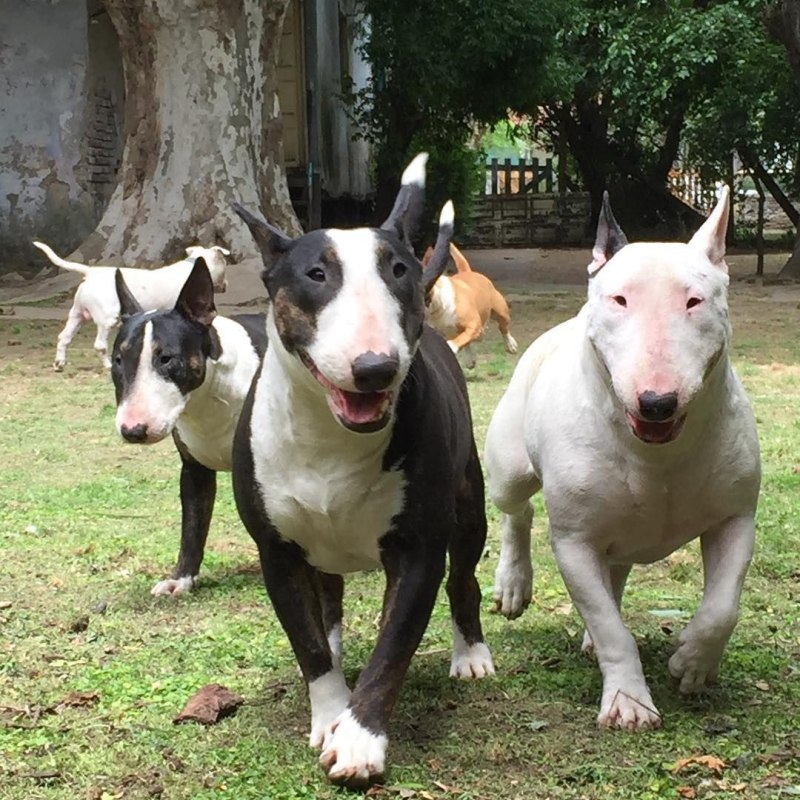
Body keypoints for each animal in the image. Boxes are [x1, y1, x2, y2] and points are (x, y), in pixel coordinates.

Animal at [32, 240, 230, 371]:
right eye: (224, 262)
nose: (226, 285)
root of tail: (90, 273)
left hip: (77, 315)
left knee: (63, 337)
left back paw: (59, 363)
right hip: (107, 319)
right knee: (99, 345)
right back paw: (108, 365)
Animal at [110, 259, 266, 596]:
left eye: (167, 358)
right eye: (117, 360)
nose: (132, 430)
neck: (208, 396)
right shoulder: (194, 471)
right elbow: (192, 526)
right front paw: (180, 579)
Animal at [231, 153, 494, 788]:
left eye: (398, 270)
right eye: (315, 274)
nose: (375, 368)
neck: (332, 437)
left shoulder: (417, 551)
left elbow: (392, 650)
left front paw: (359, 739)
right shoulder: (276, 551)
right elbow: (306, 644)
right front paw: (330, 712)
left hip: (468, 509)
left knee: (465, 579)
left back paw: (471, 654)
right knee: (327, 603)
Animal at [484, 188, 760, 730]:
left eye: (694, 301)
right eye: (620, 300)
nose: (656, 402)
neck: (657, 454)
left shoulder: (736, 518)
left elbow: (722, 608)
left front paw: (693, 661)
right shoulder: (573, 541)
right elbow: (615, 632)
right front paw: (629, 701)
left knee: (614, 574)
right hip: (508, 466)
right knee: (517, 511)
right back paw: (513, 583)